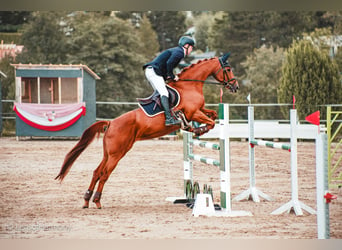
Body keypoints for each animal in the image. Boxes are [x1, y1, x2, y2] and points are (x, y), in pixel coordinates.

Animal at [55, 51, 238, 208]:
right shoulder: (194, 112)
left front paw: (196, 129)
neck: (190, 86)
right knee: (105, 174)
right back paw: (97, 201)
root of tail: (111, 123)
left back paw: (87, 200)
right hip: (117, 153)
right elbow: (210, 122)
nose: (235, 87)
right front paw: (199, 130)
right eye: (228, 69)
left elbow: (213, 114)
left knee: (96, 172)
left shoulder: (199, 111)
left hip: (109, 153)